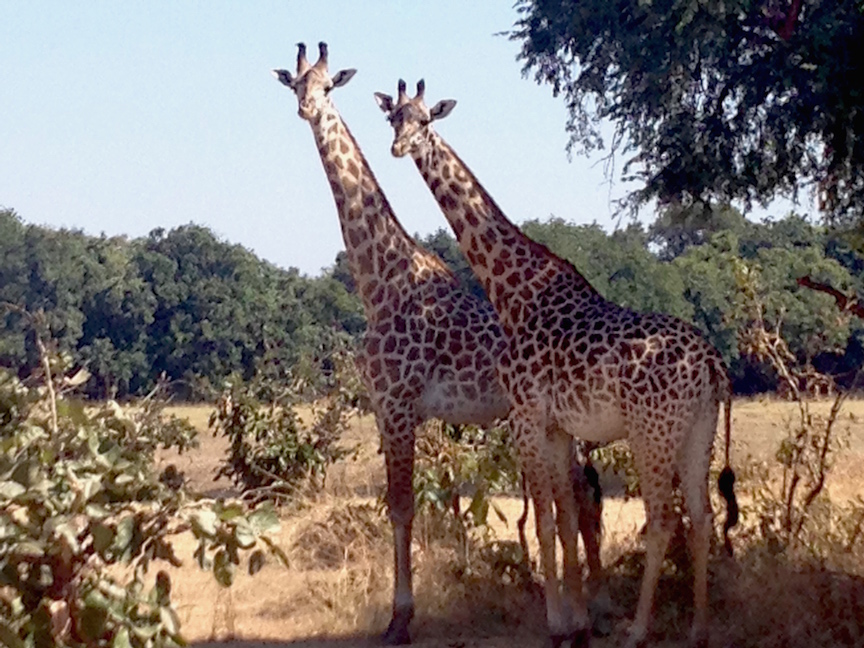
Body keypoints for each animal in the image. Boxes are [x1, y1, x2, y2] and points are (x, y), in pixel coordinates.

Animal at [274, 44, 604, 644]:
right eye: (295, 84)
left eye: (329, 86)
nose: (307, 109)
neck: (379, 281)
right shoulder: (386, 407)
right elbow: (398, 506)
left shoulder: (400, 404)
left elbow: (402, 507)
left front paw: (400, 619)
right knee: (579, 494)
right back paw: (588, 607)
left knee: (582, 494)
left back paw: (590, 605)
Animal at [374, 81, 740, 648]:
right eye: (394, 118)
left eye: (425, 121)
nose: (398, 147)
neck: (512, 291)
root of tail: (712, 366)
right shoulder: (556, 425)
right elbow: (564, 519)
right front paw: (576, 623)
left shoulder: (527, 416)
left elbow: (546, 521)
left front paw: (558, 625)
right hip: (696, 430)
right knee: (700, 516)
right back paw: (699, 631)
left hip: (652, 431)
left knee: (662, 518)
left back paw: (638, 630)